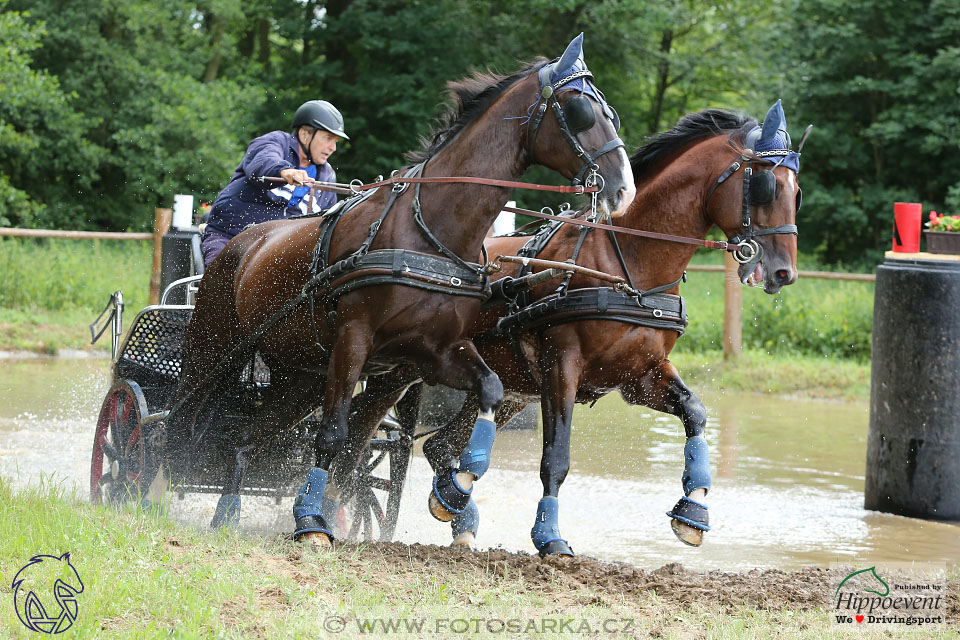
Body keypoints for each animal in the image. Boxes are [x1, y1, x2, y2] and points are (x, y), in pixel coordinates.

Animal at [171, 33, 636, 544]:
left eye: (612, 112)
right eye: (581, 110)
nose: (623, 189)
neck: (428, 229)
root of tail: (240, 245)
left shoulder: (434, 351)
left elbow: (489, 391)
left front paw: (459, 485)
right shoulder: (353, 340)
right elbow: (333, 435)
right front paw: (311, 521)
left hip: (300, 374)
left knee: (247, 437)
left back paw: (227, 510)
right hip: (212, 351)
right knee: (170, 426)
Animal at [408, 100, 808, 556]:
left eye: (796, 192)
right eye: (765, 186)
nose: (784, 272)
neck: (631, 268)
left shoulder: (641, 376)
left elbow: (696, 412)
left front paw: (694, 509)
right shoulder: (561, 368)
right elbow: (556, 458)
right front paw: (549, 535)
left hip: (512, 388)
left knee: (441, 443)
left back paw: (456, 506)